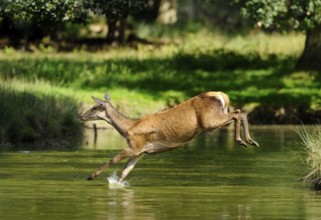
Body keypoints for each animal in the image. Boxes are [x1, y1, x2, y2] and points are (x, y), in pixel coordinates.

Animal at [79, 91, 258, 184]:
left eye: (95, 107)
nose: (80, 116)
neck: (128, 127)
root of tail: (222, 95)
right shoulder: (140, 153)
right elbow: (125, 172)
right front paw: (118, 185)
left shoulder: (135, 146)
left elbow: (113, 159)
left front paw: (91, 176)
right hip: (215, 119)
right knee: (240, 112)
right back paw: (250, 141)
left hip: (210, 121)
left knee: (237, 113)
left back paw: (242, 140)